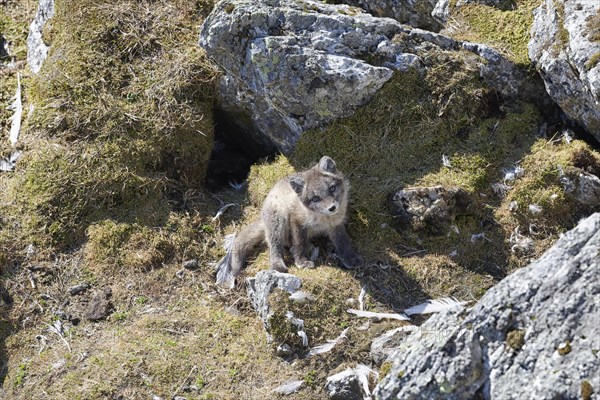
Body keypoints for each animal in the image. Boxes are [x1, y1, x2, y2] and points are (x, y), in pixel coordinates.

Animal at [218, 155, 364, 286]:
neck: (323, 219)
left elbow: (343, 242)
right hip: (278, 222)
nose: (332, 208)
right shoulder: (297, 220)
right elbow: (300, 243)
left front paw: (350, 258)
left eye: (332, 188)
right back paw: (278, 265)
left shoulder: (336, 225)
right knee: (276, 246)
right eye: (315, 198)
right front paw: (302, 261)